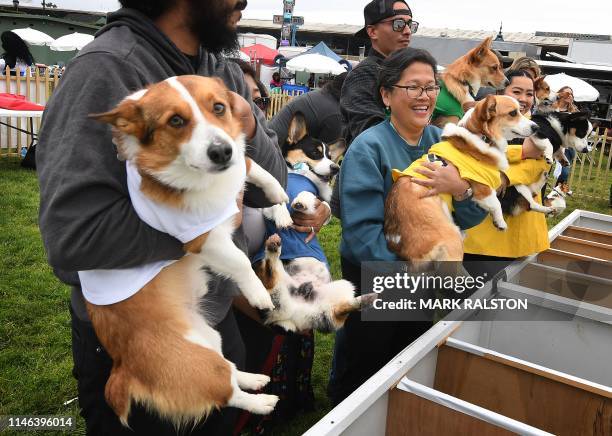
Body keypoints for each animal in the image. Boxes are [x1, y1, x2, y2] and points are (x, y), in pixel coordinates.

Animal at [83, 75, 290, 426]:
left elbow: (253, 166)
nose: (222, 152)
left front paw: (277, 193)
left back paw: (254, 379)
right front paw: (258, 293)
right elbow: (239, 261)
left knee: (230, 371)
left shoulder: (239, 166)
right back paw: (262, 403)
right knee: (225, 392)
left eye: (219, 107)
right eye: (176, 121)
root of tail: (122, 366)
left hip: (210, 338)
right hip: (196, 361)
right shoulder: (202, 238)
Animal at [384, 95, 536, 262]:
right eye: (513, 113)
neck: (481, 137)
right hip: (452, 240)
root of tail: (398, 241)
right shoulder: (482, 188)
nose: (536, 127)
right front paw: (500, 222)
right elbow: (496, 204)